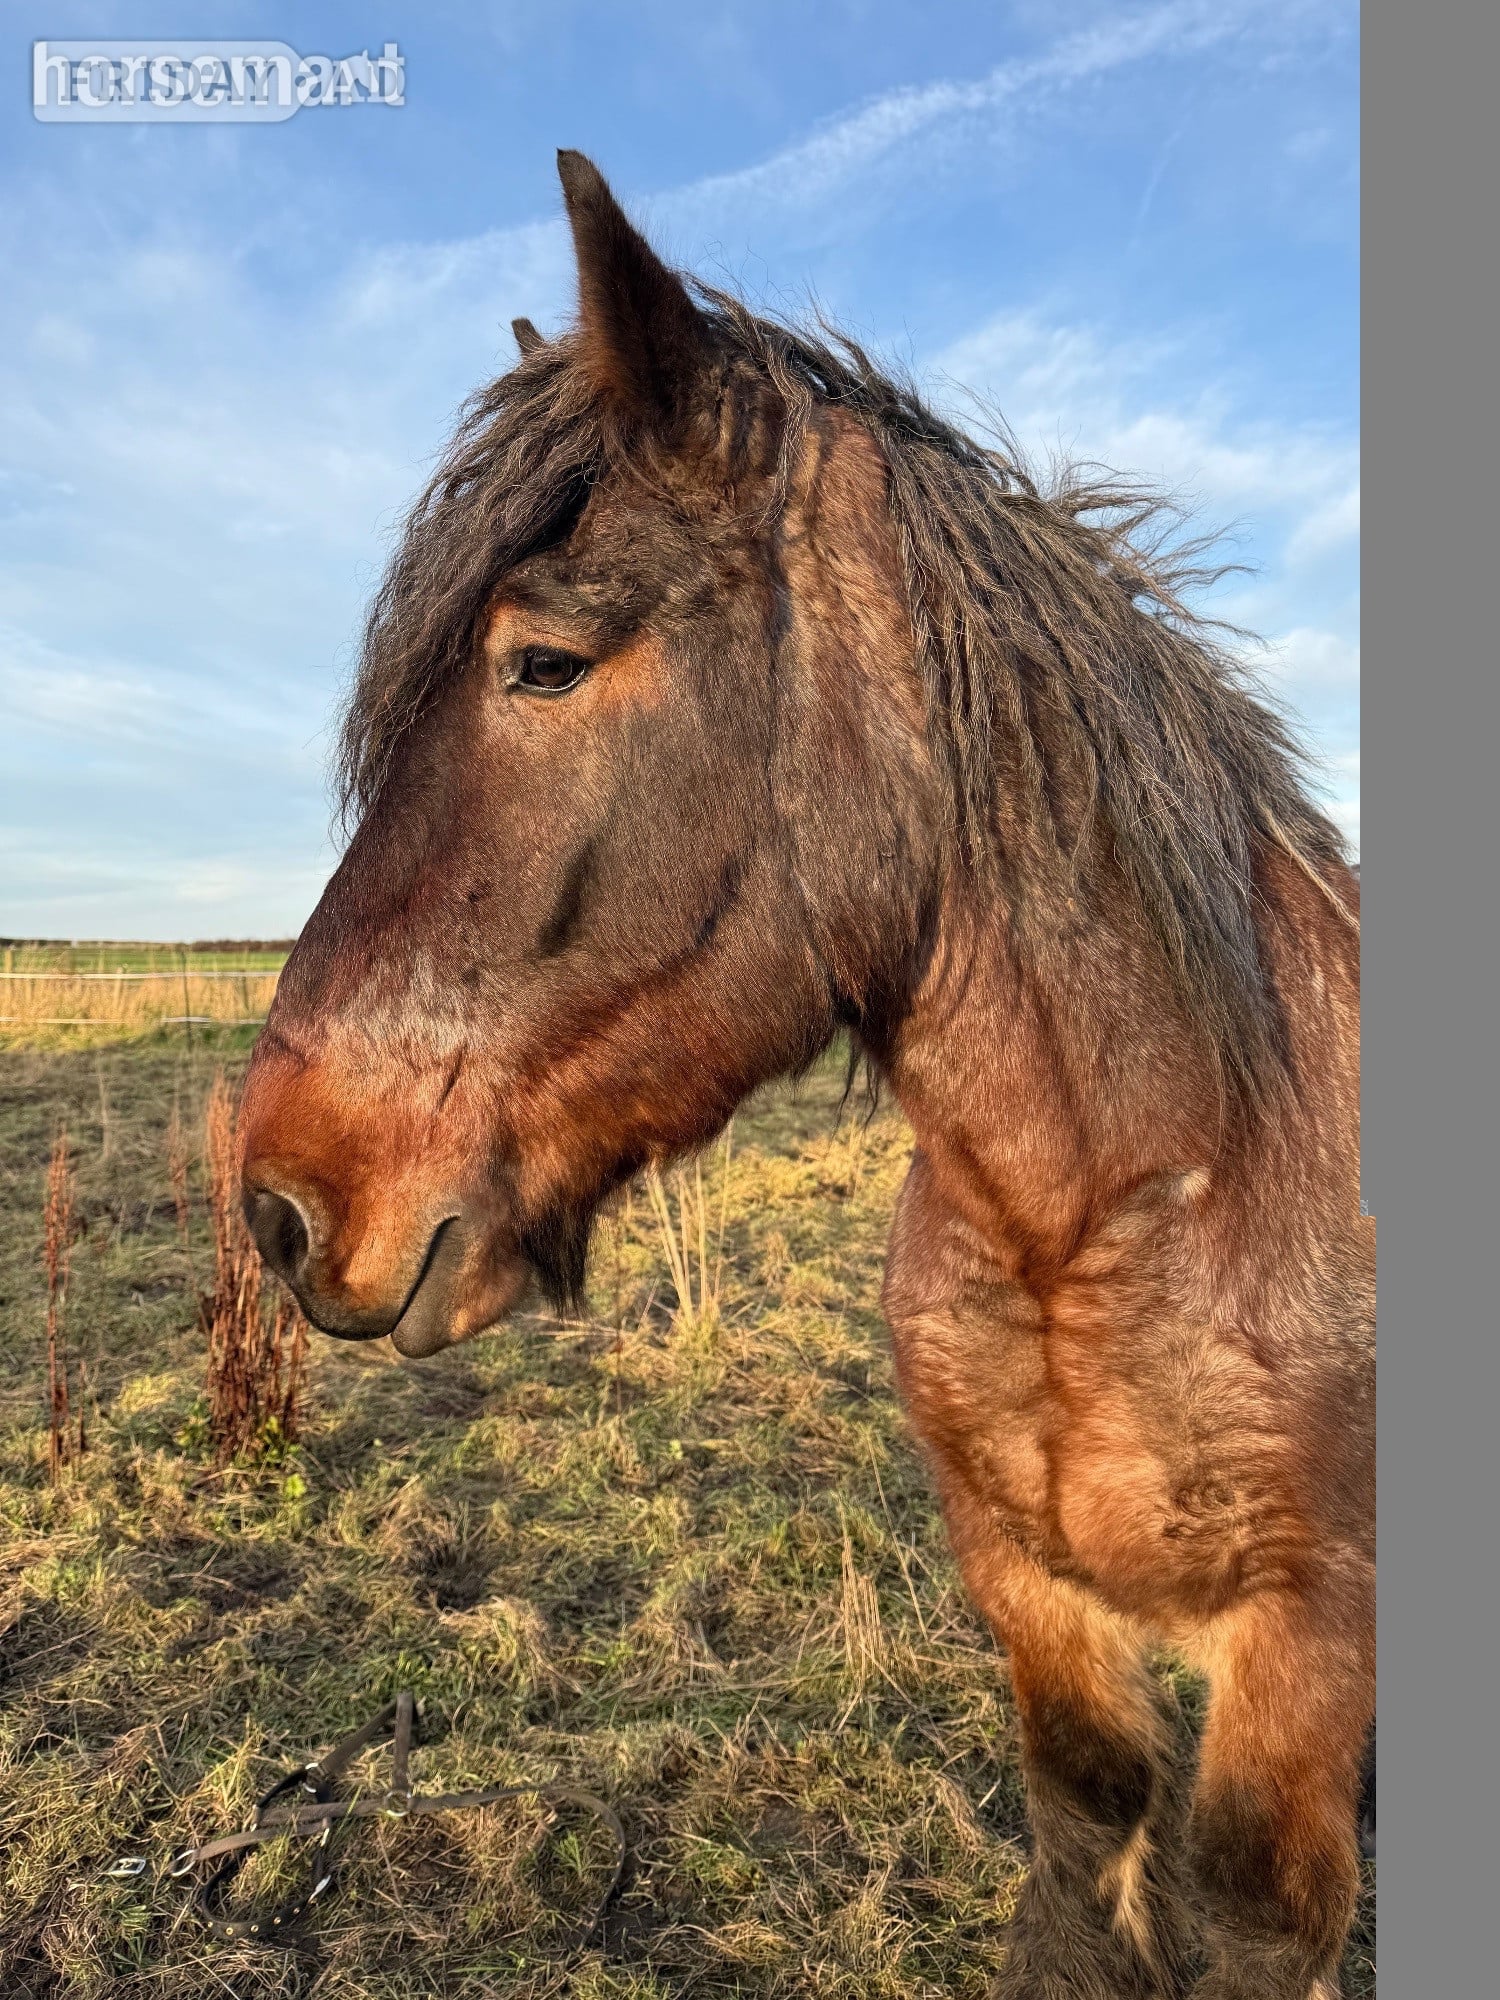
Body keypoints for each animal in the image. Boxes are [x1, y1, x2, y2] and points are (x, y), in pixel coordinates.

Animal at [238, 152, 1371, 1999]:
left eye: (542, 661)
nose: (279, 1199)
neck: (1135, 1202)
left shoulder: (1308, 1657)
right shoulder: (1034, 1606)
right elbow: (1086, 1859)